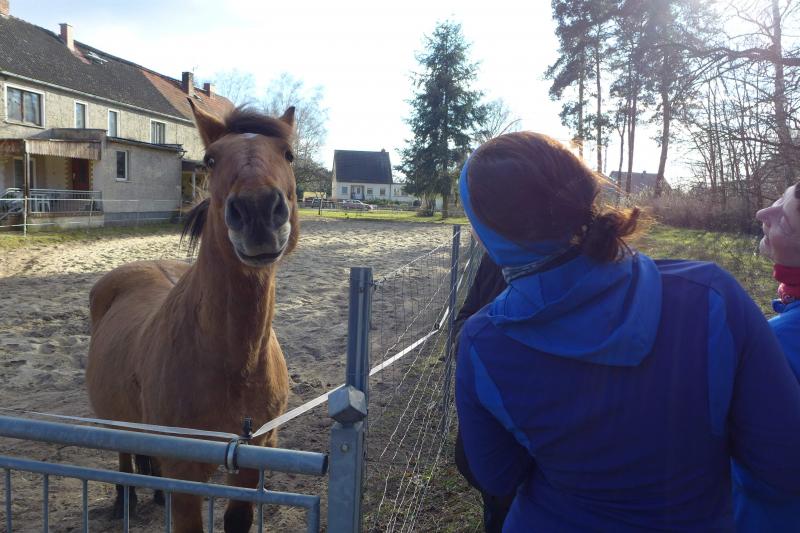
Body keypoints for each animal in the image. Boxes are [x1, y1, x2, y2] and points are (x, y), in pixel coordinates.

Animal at [86, 102, 297, 533]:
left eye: (289, 155)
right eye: (211, 159)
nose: (257, 210)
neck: (234, 365)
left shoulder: (255, 457)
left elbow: (237, 519)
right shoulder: (184, 473)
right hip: (115, 423)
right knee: (124, 457)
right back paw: (125, 501)